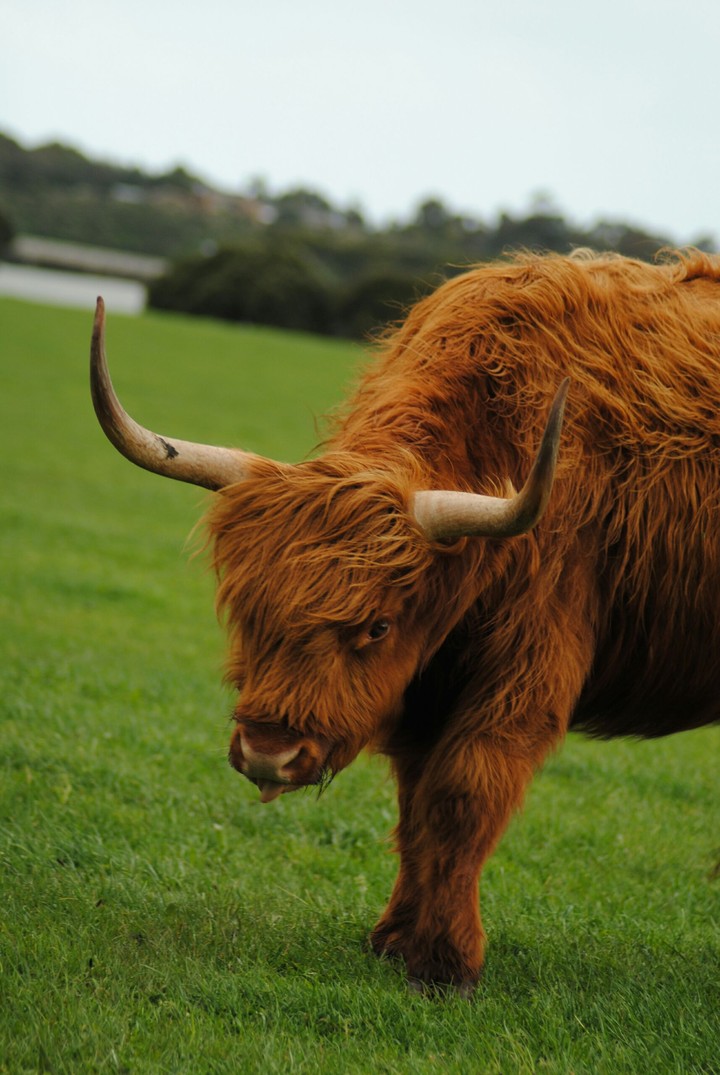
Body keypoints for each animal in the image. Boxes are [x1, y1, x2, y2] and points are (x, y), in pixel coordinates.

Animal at [90, 249, 720, 994]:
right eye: (249, 608)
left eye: (377, 626)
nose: (270, 753)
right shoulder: (424, 690)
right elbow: (417, 806)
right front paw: (394, 938)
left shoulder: (525, 671)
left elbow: (462, 794)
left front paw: (446, 961)